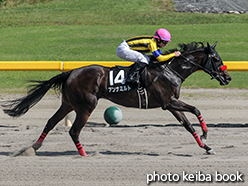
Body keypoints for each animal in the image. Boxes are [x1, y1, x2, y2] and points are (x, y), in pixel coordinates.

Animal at [1, 41, 232, 156]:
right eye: (216, 59)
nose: (228, 78)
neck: (170, 70)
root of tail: (71, 72)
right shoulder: (168, 103)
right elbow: (196, 110)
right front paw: (206, 133)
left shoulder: (170, 105)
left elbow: (188, 125)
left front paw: (206, 147)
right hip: (86, 106)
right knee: (74, 131)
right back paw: (84, 155)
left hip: (68, 103)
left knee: (50, 122)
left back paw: (34, 147)